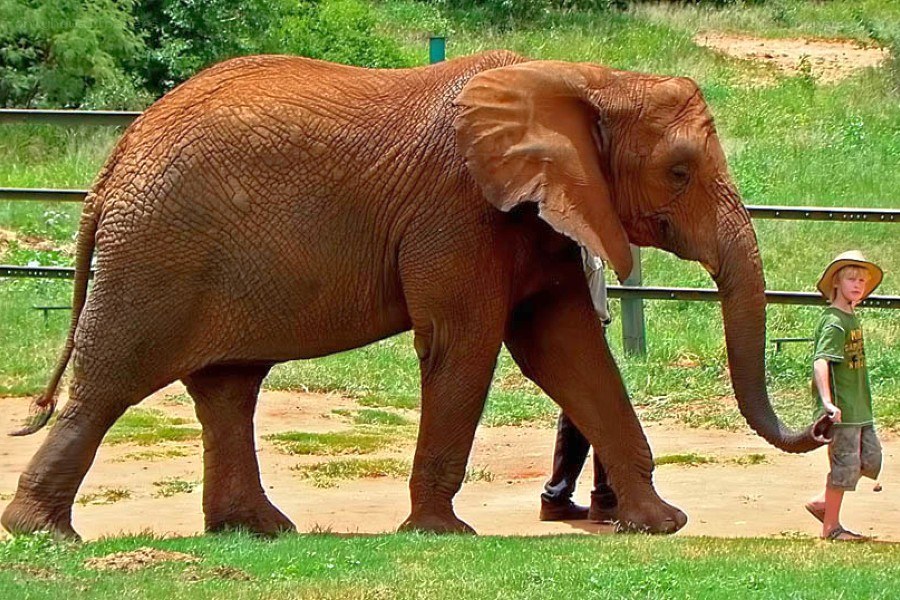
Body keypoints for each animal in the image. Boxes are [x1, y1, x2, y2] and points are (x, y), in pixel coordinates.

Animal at [2, 51, 827, 540]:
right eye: (680, 172)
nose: (823, 423)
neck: (581, 78)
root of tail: (114, 161)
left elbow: (566, 348)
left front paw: (663, 524)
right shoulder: (458, 212)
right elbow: (468, 345)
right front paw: (442, 533)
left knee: (228, 389)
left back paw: (261, 531)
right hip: (157, 256)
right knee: (110, 388)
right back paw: (44, 535)